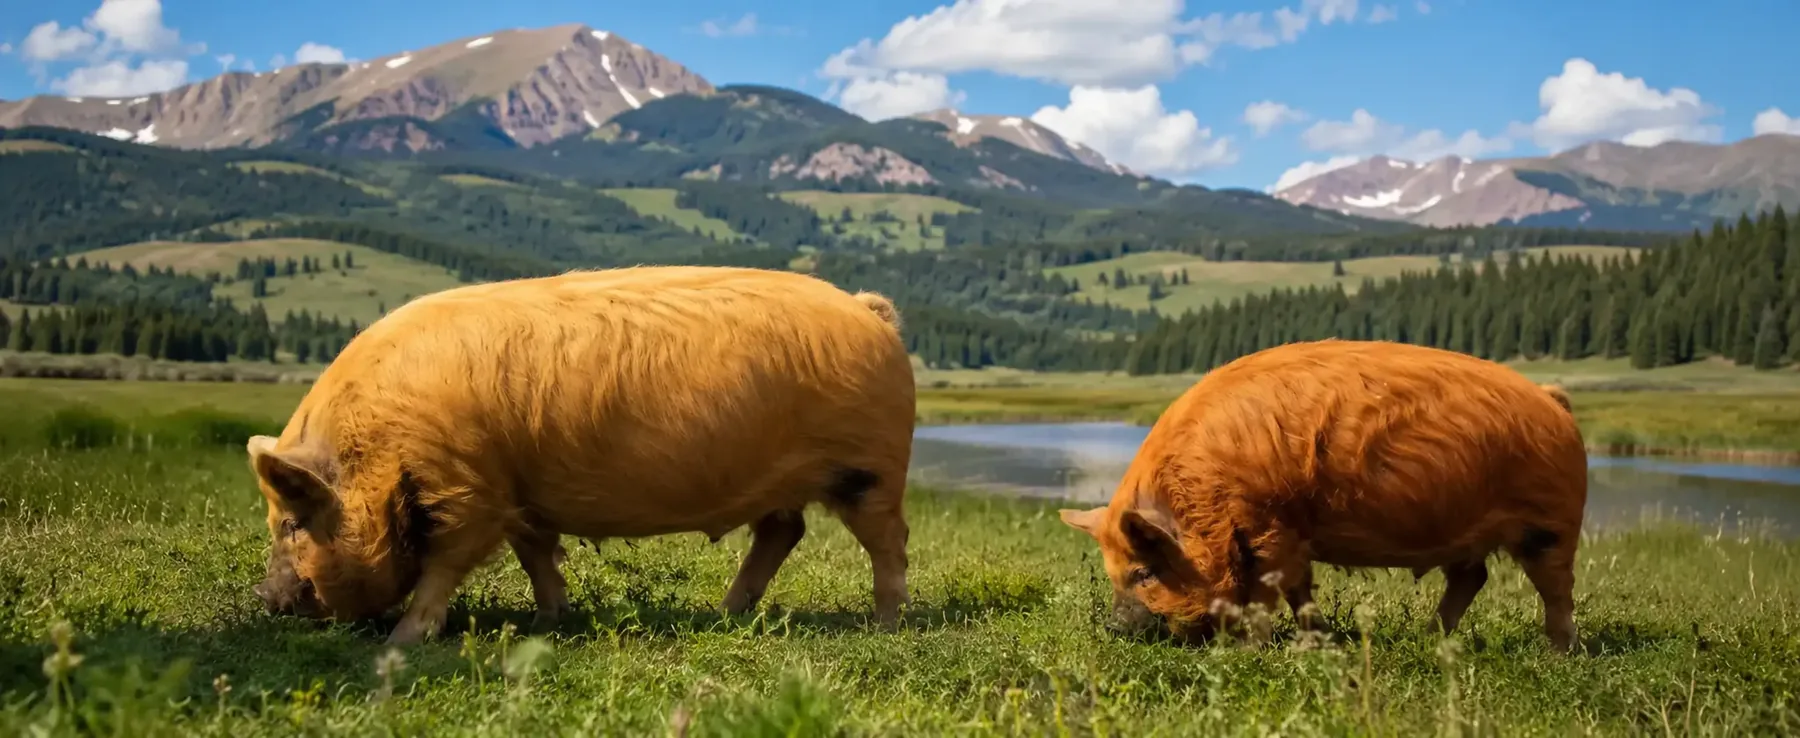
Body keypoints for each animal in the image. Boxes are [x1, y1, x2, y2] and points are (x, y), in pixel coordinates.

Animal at [245, 266, 916, 645]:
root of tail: (870, 310)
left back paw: (885, 625)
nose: (264, 600)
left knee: (888, 541)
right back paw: (724, 615)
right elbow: (536, 554)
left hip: (872, 468)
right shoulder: (517, 495)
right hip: (782, 482)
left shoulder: (469, 488)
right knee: (784, 530)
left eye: (293, 521)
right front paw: (551, 620)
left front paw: (404, 643)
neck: (381, 451)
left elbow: (445, 566)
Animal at [1060, 339, 1588, 653]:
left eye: (1144, 571)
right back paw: (1429, 639)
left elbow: (1269, 588)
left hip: (1552, 521)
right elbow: (1299, 590)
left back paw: (1558, 654)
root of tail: (1552, 399)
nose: (1113, 628)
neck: (1202, 498)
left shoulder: (1269, 524)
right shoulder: (1290, 534)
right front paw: (1318, 642)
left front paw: (1251, 650)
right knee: (1472, 576)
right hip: (1471, 534)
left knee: (1555, 586)